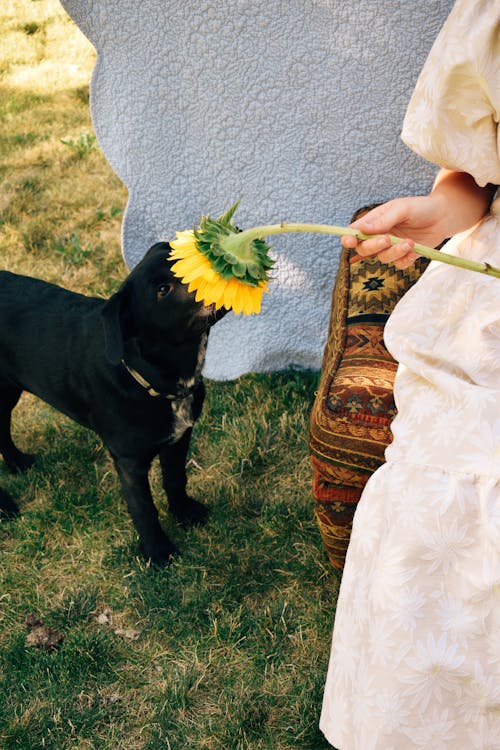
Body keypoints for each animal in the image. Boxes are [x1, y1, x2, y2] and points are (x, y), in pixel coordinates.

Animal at [0, 244, 225, 568]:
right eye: (162, 290)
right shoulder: (128, 460)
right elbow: (144, 509)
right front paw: (158, 552)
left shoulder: (179, 437)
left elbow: (175, 479)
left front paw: (184, 513)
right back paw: (4, 505)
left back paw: (17, 462)